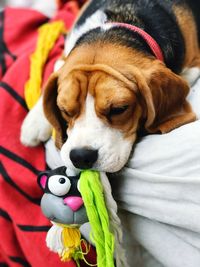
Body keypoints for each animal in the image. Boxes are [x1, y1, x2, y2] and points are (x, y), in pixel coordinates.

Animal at [20, 0, 198, 174]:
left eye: (119, 109)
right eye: (65, 111)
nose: (81, 157)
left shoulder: (194, 66)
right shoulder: (64, 57)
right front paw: (34, 121)